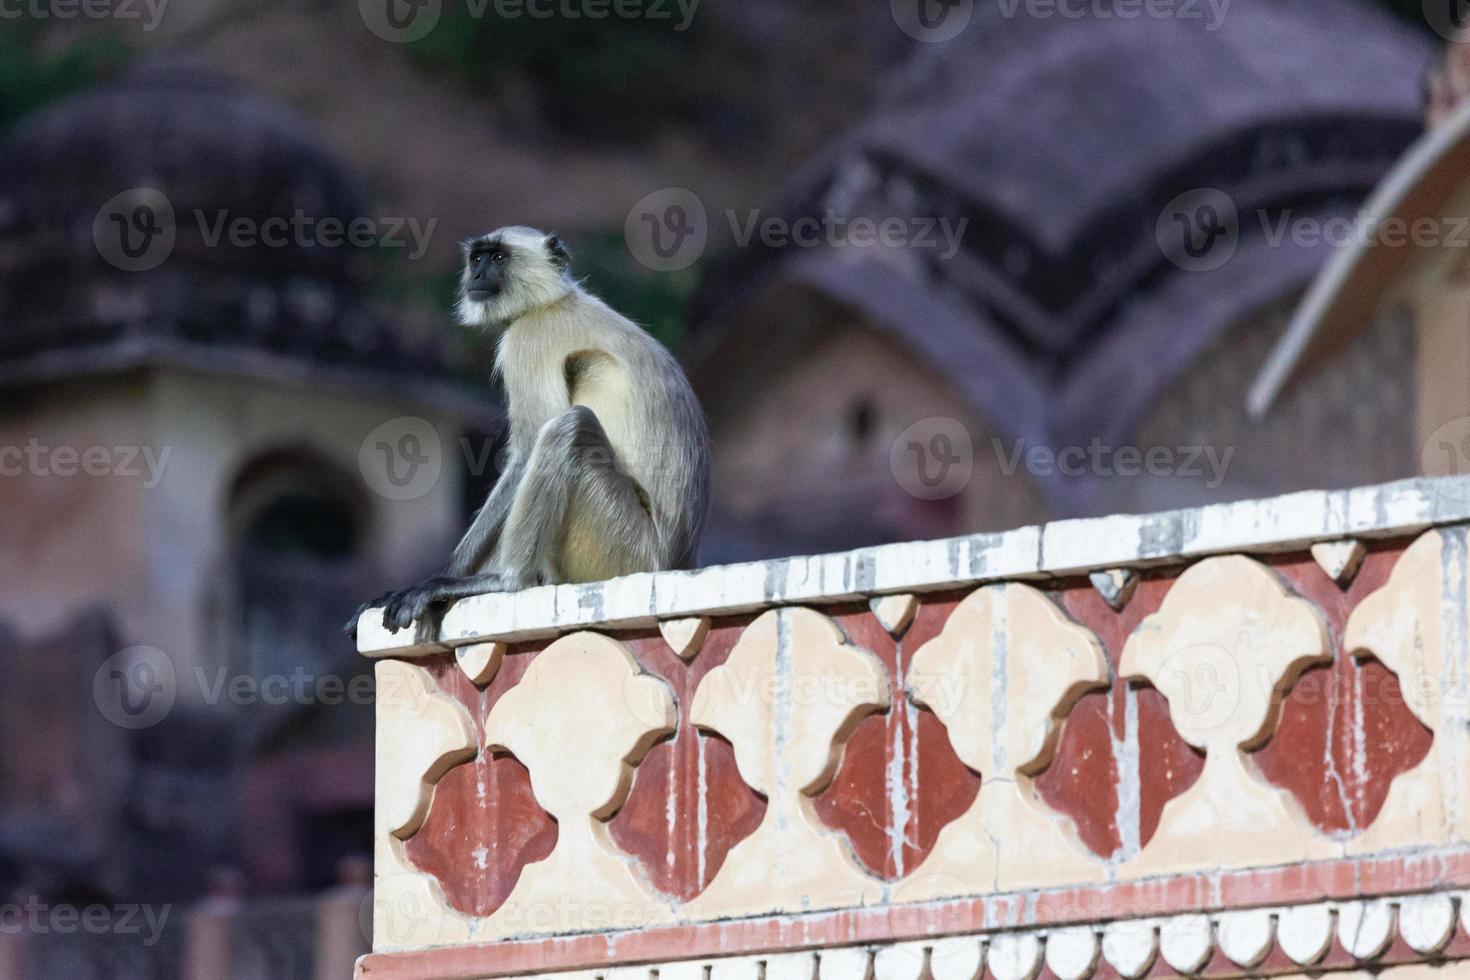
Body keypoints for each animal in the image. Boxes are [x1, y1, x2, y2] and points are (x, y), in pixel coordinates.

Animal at [346, 226, 708, 640]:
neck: (553, 301)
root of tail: (674, 561)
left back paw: (506, 582)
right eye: (478, 258)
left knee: (568, 430)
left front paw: (440, 580)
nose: (478, 274)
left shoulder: (528, 340)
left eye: (499, 258)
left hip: (625, 548)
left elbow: (526, 452)